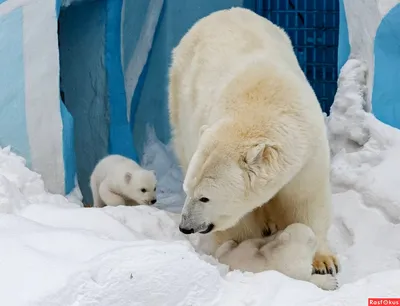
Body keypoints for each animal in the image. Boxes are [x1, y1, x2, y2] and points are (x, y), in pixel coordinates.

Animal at [167, 7, 340, 274]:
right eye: (188, 190)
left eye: (204, 197)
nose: (186, 226)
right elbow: (239, 222)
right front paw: (243, 251)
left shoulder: (309, 152)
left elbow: (306, 200)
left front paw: (324, 262)